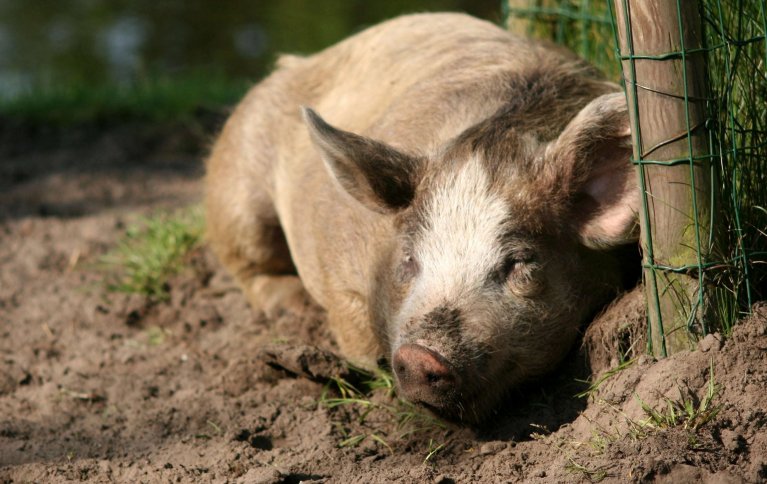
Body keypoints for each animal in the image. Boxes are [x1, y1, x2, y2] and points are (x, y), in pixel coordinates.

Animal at [206, 12, 640, 424]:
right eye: (410, 259)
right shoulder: (337, 267)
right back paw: (290, 306)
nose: (420, 356)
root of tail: (297, 62)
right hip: (237, 193)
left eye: (520, 262)